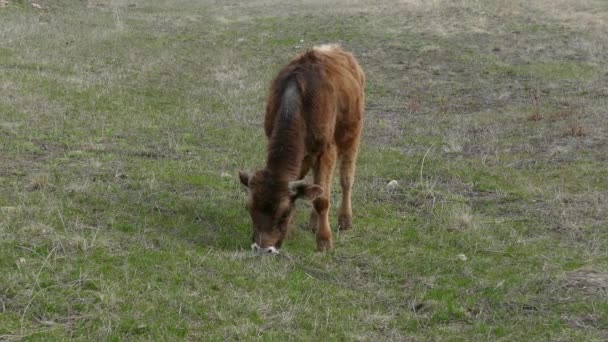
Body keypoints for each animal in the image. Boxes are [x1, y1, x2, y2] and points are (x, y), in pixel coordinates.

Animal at [239, 43, 364, 254]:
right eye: (249, 209)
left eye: (283, 213)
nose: (263, 248)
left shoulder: (327, 151)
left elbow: (322, 200)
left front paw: (324, 241)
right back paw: (314, 223)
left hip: (353, 137)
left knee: (346, 180)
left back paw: (345, 220)